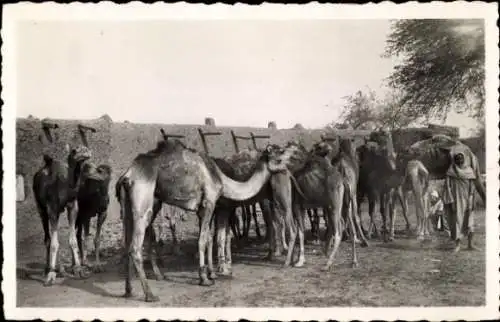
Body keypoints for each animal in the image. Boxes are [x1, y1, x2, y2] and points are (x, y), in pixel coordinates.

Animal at [116, 139, 290, 302]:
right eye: (279, 156)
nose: (288, 168)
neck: (221, 179)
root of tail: (126, 176)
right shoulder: (209, 203)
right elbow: (203, 240)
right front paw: (205, 278)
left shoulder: (202, 210)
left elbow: (208, 239)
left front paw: (211, 273)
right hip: (143, 199)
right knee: (135, 246)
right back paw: (150, 294)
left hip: (132, 204)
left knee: (129, 243)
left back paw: (129, 290)